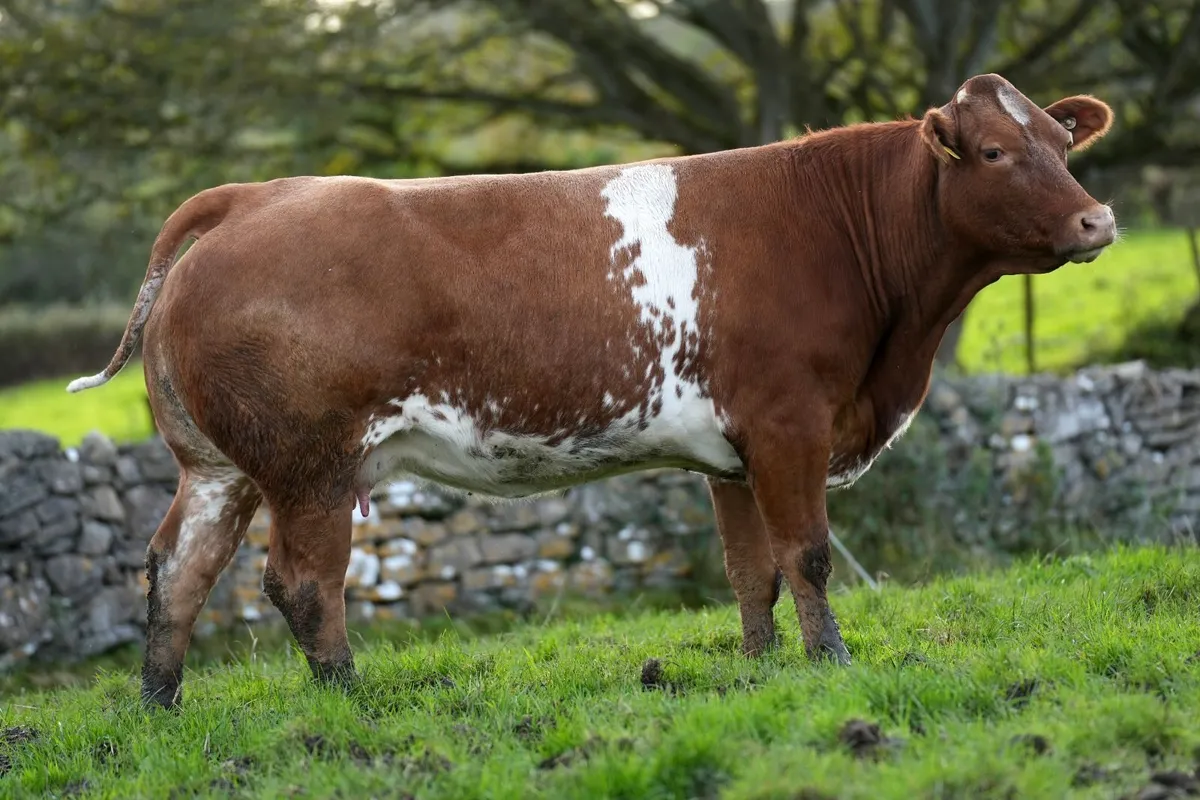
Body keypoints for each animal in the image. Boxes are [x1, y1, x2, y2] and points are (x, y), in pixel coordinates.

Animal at [67, 73, 1116, 709]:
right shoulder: (790, 426)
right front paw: (832, 666)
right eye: (994, 153)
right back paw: (347, 701)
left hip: (217, 466)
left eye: (1062, 143)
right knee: (302, 583)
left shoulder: (732, 452)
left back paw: (160, 707)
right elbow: (810, 557)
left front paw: (761, 669)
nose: (1097, 219)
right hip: (311, 466)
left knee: (177, 572)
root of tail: (256, 194)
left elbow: (754, 571)